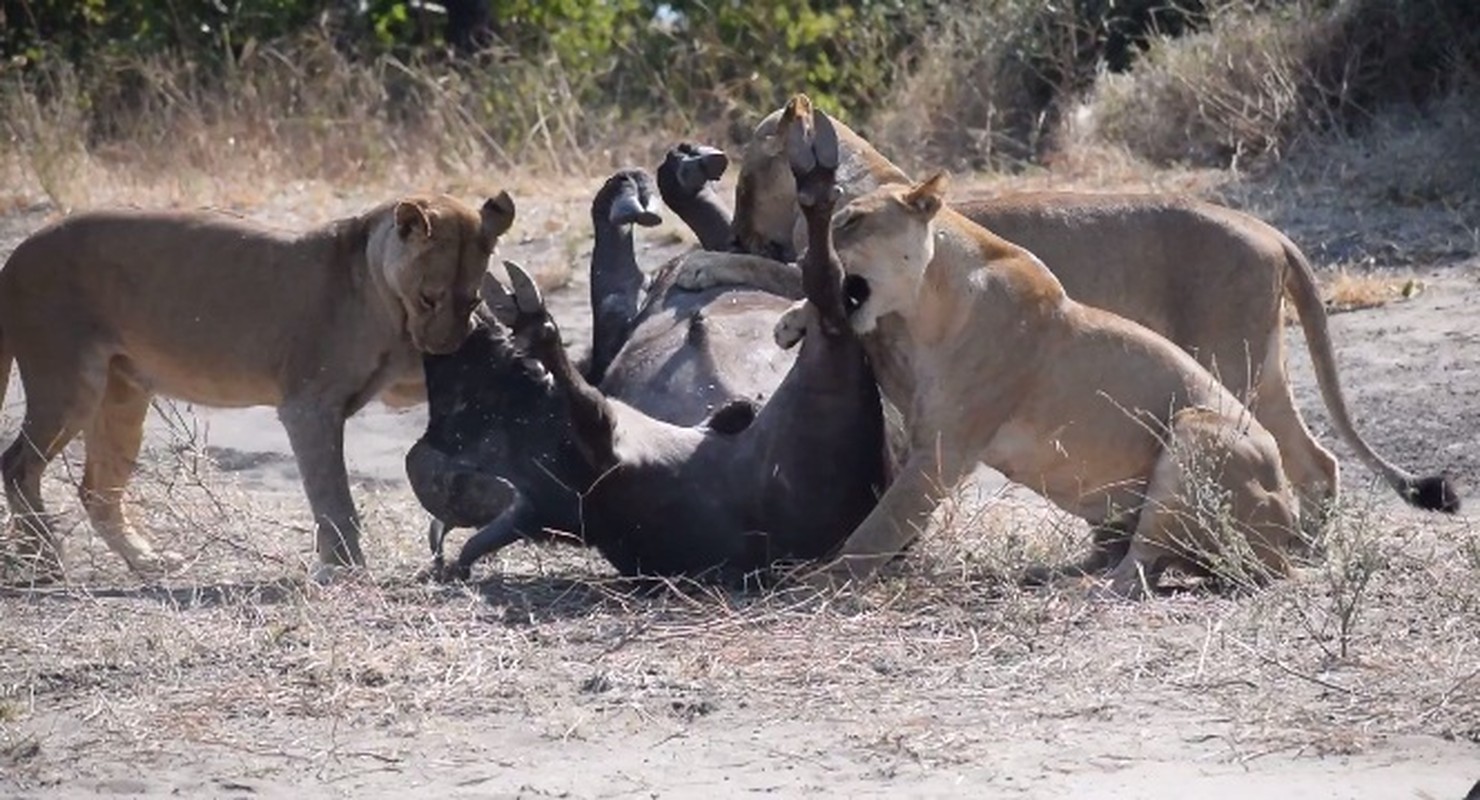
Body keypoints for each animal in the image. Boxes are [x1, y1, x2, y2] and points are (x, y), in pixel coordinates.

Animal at [0, 193, 518, 579]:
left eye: (470, 299)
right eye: (429, 297)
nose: (444, 348)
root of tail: (17, 254)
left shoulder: (400, 380)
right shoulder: (309, 405)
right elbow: (333, 496)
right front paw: (345, 568)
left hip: (123, 392)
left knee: (96, 490)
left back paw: (145, 560)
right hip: (68, 381)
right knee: (18, 464)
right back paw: (44, 556)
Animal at [683, 96, 1468, 520]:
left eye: (746, 177)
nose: (736, 228)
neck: (861, 175)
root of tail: (1269, 230)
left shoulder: (834, 266)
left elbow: (777, 271)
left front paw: (705, 263)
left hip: (1230, 360)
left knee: (1291, 454)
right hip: (1259, 364)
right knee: (1318, 460)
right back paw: (1312, 538)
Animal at [787, 110, 1296, 597]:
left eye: (851, 221)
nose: (799, 260)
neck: (925, 305)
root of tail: (1288, 532)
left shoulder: (944, 449)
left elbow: (878, 527)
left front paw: (818, 583)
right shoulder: (915, 398)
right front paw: (794, 319)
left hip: (1195, 430)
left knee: (1140, 565)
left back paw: (1083, 587)